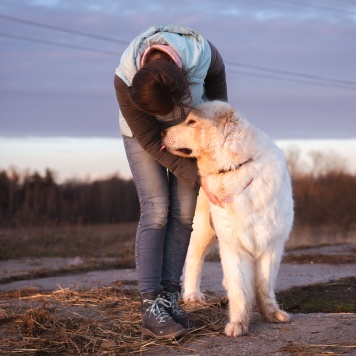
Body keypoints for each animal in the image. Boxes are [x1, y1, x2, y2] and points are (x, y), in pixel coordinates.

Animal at [162, 100, 294, 336]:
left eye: (191, 122)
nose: (161, 132)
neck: (235, 168)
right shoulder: (233, 244)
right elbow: (239, 286)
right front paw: (239, 323)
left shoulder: (271, 244)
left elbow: (264, 285)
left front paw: (271, 314)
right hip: (201, 230)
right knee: (193, 260)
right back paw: (192, 295)